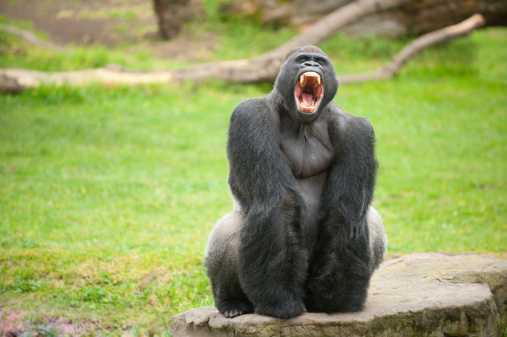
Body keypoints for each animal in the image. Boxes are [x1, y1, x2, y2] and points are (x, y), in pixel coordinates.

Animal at [204, 44, 386, 318]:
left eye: (320, 62)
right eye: (302, 60)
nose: (311, 66)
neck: (303, 123)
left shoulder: (358, 131)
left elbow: (343, 213)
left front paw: (337, 298)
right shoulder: (251, 116)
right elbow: (279, 203)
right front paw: (279, 300)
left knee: (370, 220)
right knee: (229, 227)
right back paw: (231, 302)